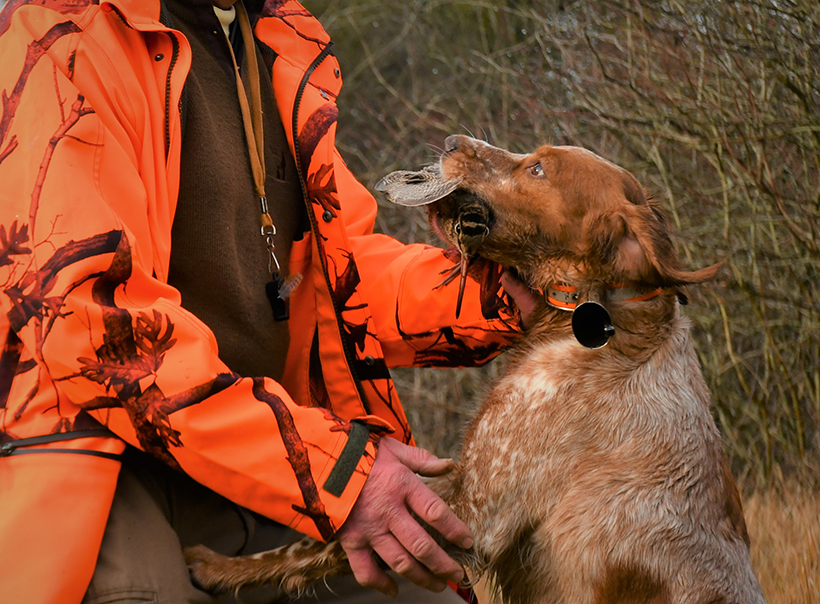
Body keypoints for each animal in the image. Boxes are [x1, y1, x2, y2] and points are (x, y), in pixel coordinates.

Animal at [186, 137, 768, 604]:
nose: (450, 141)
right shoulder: (460, 481)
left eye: (538, 169)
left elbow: (313, 546)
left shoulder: (475, 514)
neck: (596, 324)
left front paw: (216, 567)